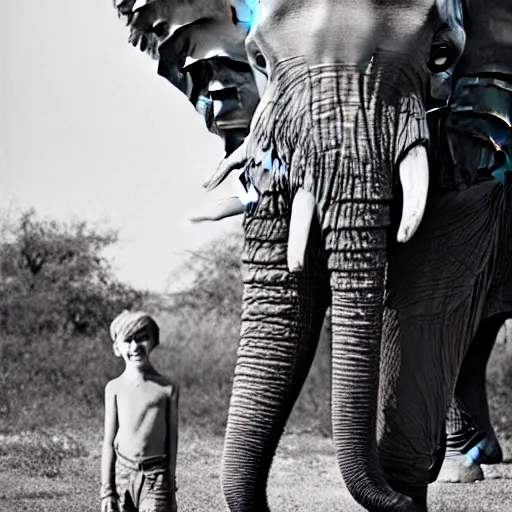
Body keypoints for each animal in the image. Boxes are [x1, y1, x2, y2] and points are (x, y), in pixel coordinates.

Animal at [108, 1, 512, 512]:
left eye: (441, 55)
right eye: (257, 59)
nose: (398, 497)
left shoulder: (475, 127)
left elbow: (429, 299)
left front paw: (404, 493)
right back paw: (464, 464)